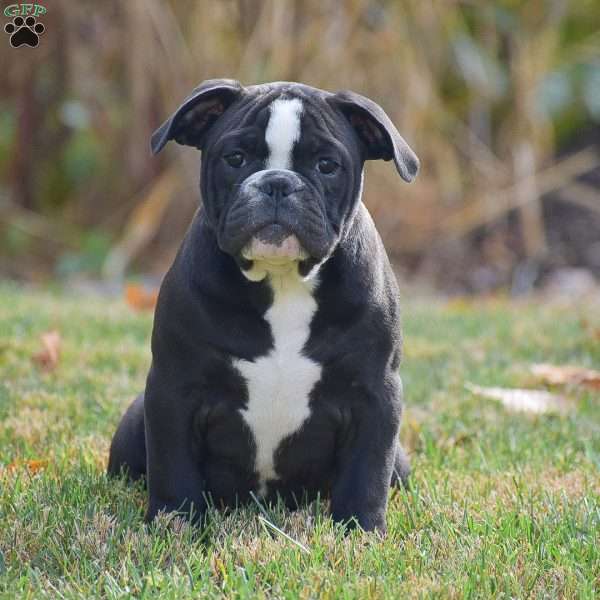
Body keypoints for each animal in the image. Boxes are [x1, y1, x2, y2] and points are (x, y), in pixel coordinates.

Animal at [108, 79, 418, 536]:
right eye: (235, 159)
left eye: (327, 165)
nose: (277, 183)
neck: (282, 279)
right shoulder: (174, 387)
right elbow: (174, 465)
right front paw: (176, 523)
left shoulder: (374, 393)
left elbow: (367, 473)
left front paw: (360, 531)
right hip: (135, 423)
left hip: (401, 460)